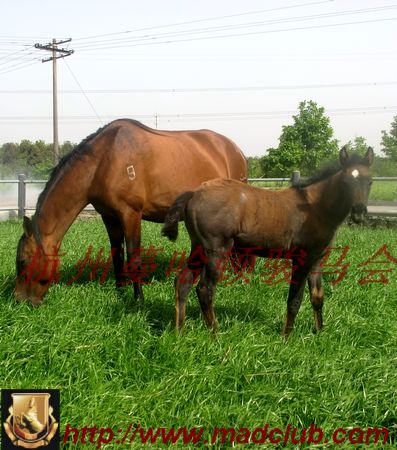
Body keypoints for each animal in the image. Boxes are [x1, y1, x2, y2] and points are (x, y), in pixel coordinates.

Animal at [16, 118, 248, 304]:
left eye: (23, 261)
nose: (20, 301)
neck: (103, 161)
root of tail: (235, 149)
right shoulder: (109, 217)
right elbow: (117, 255)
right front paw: (120, 290)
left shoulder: (131, 215)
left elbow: (133, 258)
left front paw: (138, 299)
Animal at [161, 146, 372, 336]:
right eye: (345, 182)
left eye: (369, 181)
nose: (359, 213)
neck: (315, 207)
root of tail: (194, 193)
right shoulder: (302, 259)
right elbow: (295, 300)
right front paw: (286, 338)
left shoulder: (317, 259)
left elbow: (317, 297)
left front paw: (319, 334)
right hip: (216, 249)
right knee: (205, 289)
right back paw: (215, 334)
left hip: (198, 247)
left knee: (183, 282)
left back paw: (180, 333)